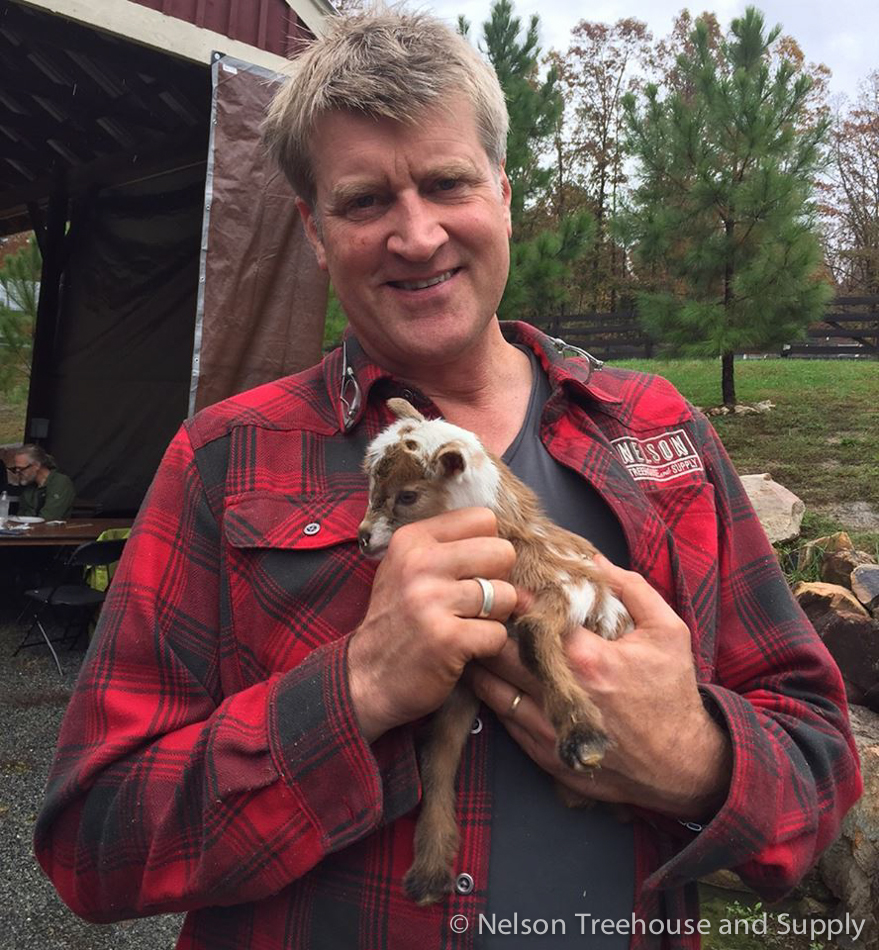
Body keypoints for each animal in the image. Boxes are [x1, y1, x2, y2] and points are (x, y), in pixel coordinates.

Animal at [358, 400, 632, 908]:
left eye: (407, 496)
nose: (364, 537)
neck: (518, 539)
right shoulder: (466, 674)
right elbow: (439, 753)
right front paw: (430, 872)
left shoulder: (575, 587)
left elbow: (533, 634)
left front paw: (583, 738)